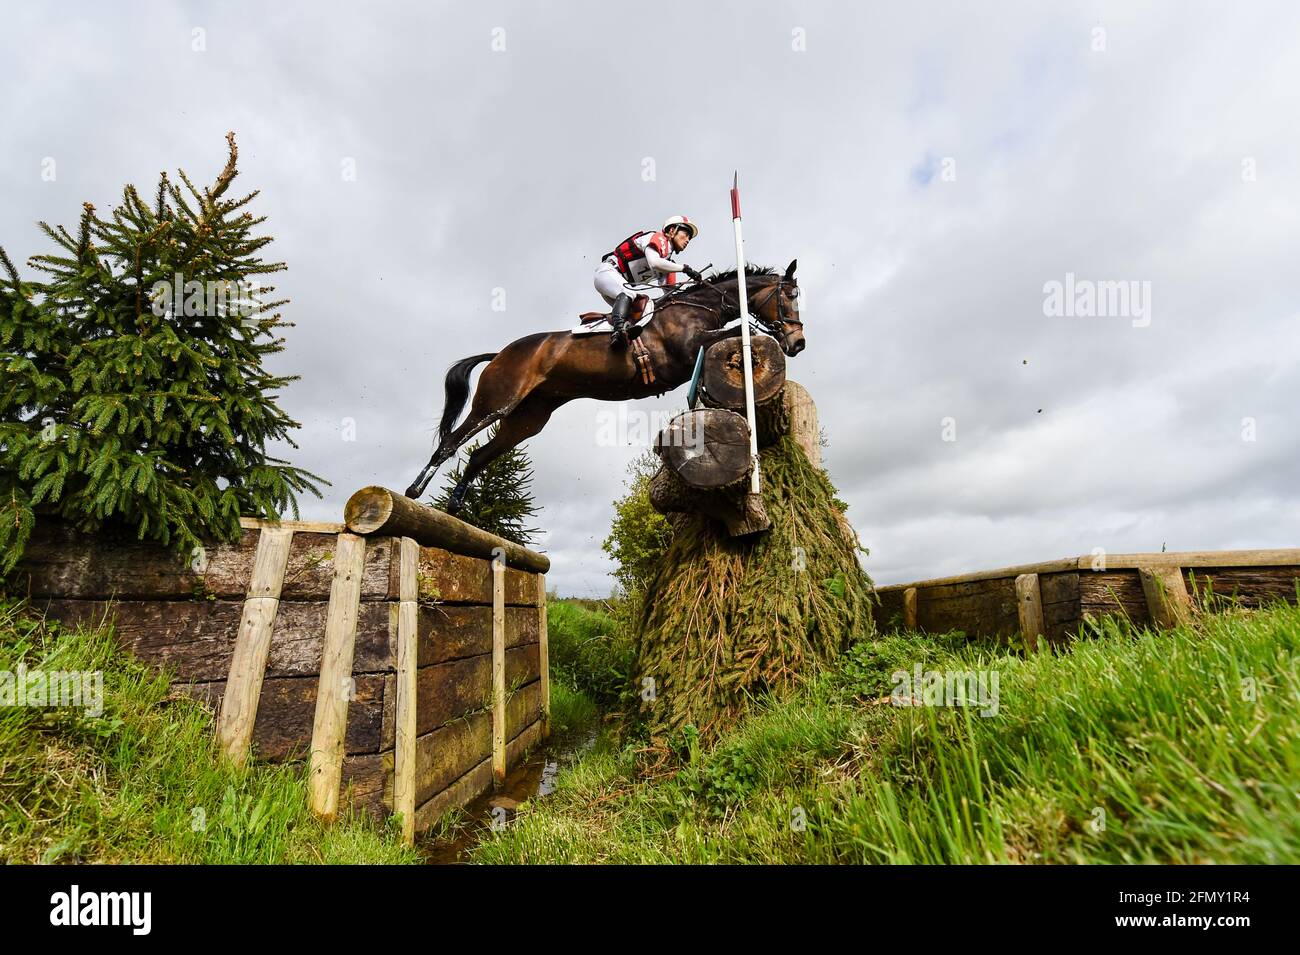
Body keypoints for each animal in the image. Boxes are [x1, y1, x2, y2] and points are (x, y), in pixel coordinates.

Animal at [400, 257, 800, 511]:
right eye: (791, 297)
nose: (799, 343)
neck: (696, 306)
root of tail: (499, 353)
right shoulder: (685, 351)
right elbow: (741, 330)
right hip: (497, 401)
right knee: (450, 444)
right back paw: (414, 491)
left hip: (527, 418)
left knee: (479, 456)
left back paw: (455, 507)